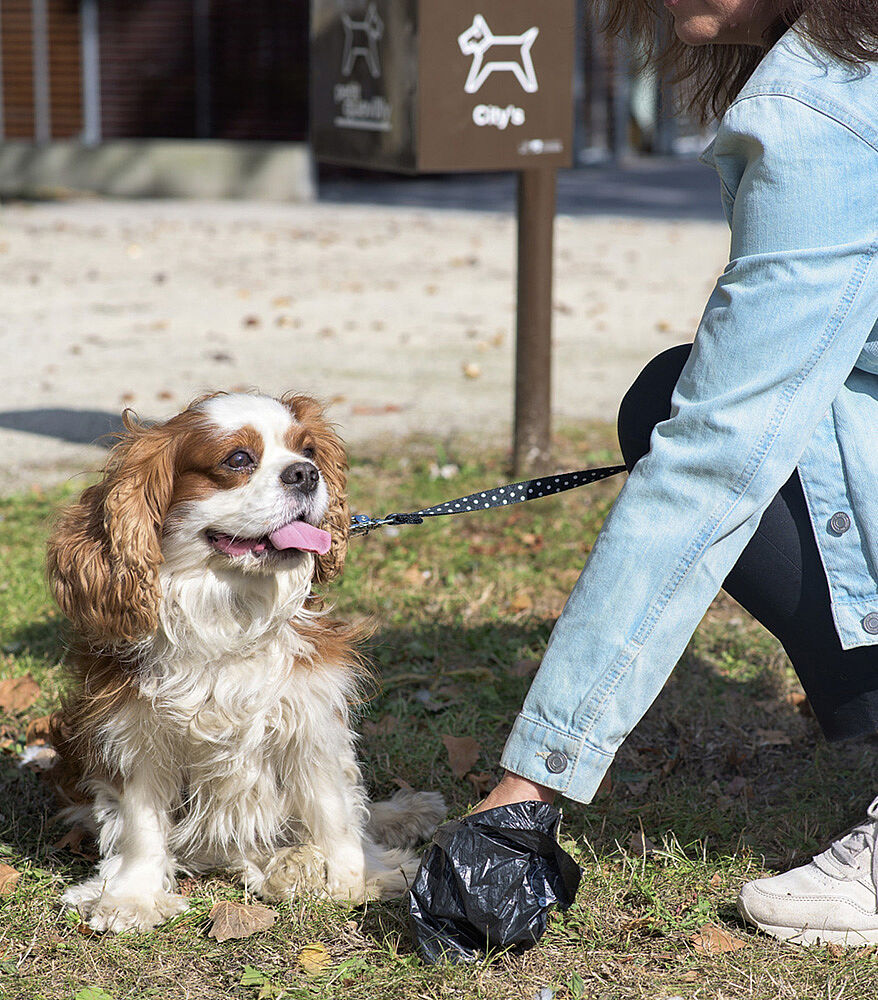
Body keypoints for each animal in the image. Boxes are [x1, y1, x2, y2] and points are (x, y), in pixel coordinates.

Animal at [46, 388, 446, 928]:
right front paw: (131, 896)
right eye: (238, 459)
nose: (305, 473)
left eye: (308, 450)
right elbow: (140, 822)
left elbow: (335, 809)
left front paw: (359, 877)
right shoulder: (136, 731)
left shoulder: (309, 716)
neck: (231, 607)